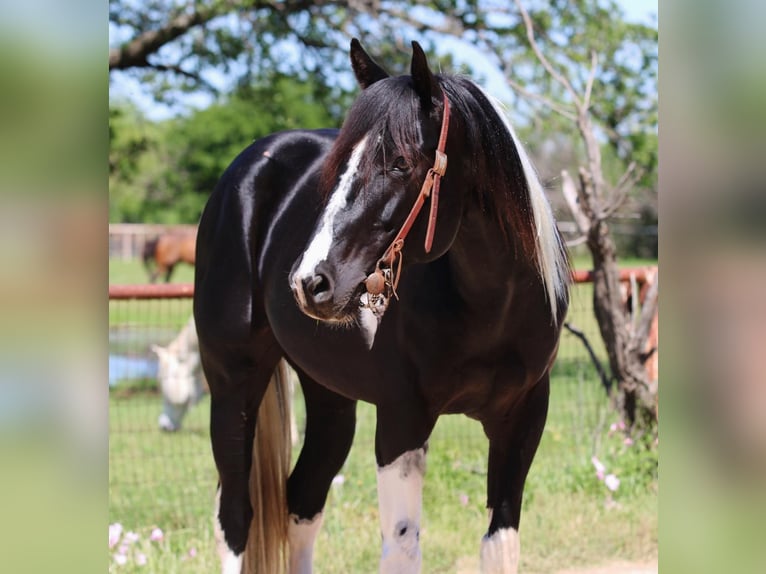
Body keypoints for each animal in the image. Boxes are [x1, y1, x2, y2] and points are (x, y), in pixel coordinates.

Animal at [196, 40, 568, 574]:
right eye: (336, 167)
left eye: (401, 163)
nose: (310, 282)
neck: (494, 305)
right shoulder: (401, 421)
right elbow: (403, 546)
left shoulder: (523, 420)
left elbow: (499, 544)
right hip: (232, 387)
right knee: (234, 516)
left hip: (329, 397)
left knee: (302, 501)